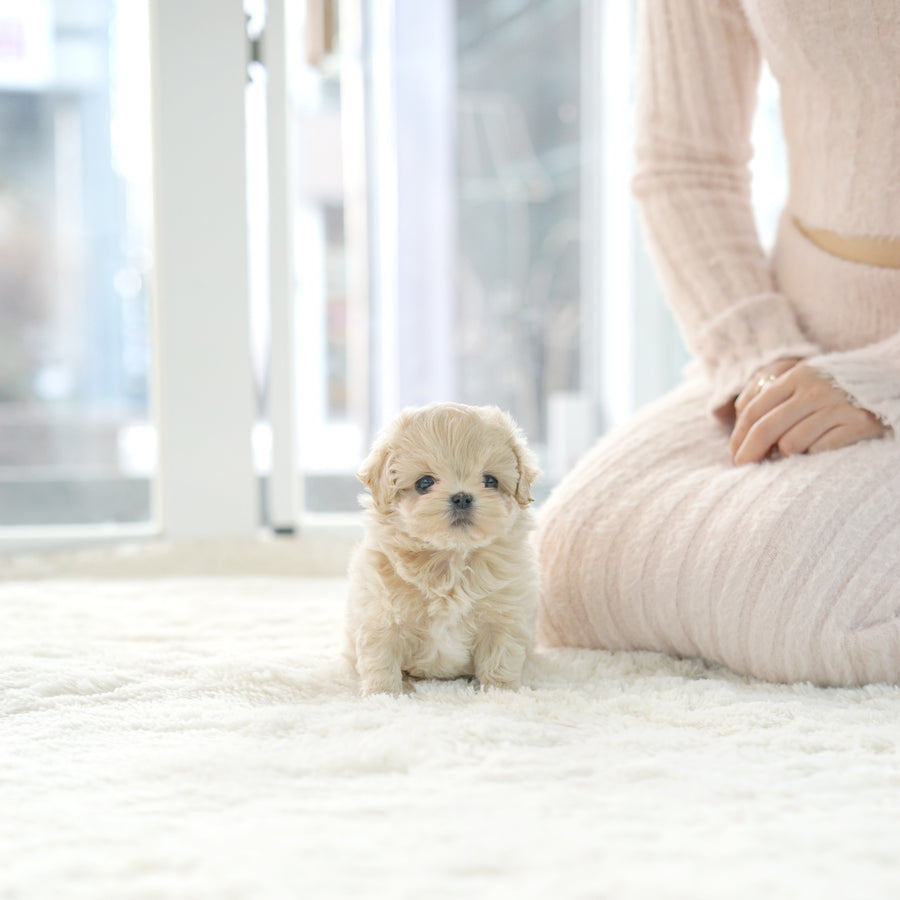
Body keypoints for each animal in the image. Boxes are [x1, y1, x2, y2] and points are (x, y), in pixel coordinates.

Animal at [344, 402, 540, 696]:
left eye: (490, 481)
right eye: (424, 482)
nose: (462, 497)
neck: (450, 557)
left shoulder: (504, 616)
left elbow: (500, 658)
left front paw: (501, 692)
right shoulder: (380, 616)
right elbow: (381, 660)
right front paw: (384, 695)